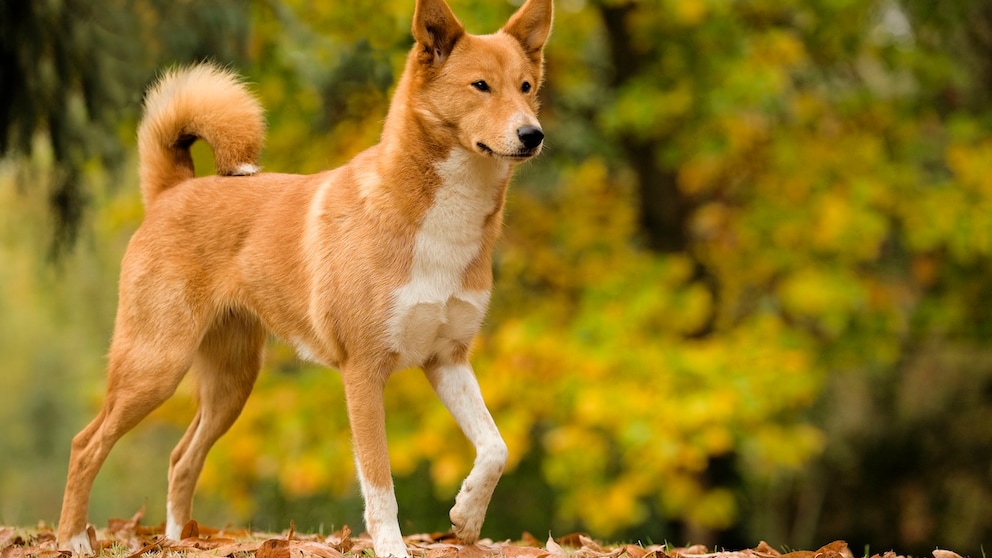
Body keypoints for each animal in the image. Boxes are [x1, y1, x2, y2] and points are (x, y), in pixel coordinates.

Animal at [58, 0, 556, 556]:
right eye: (480, 86)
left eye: (526, 86)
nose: (532, 135)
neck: (436, 222)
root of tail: (172, 191)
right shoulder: (363, 373)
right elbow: (380, 486)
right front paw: (394, 547)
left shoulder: (447, 359)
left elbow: (496, 446)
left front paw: (467, 515)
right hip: (155, 366)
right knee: (86, 445)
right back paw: (73, 538)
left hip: (232, 384)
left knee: (182, 459)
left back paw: (175, 541)